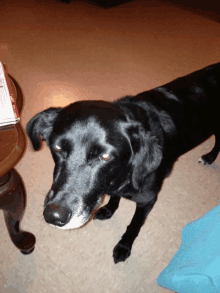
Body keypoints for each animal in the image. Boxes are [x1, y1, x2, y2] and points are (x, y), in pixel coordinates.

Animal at [26, 62, 220, 262]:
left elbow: (134, 226)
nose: (54, 216)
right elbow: (114, 197)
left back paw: (210, 157)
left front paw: (124, 246)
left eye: (104, 157)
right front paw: (110, 209)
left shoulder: (147, 199)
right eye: (57, 148)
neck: (121, 176)